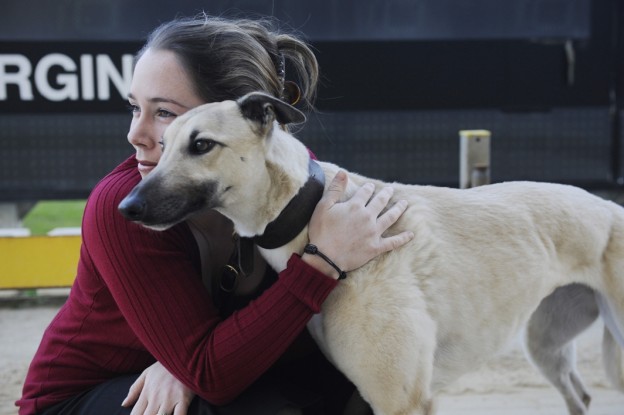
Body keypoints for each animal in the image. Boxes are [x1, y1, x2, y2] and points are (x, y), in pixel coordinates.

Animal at [120, 92, 624, 414]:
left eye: (202, 144)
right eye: (163, 146)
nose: (126, 208)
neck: (311, 211)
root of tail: (609, 206)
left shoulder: (401, 400)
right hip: (546, 343)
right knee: (579, 396)